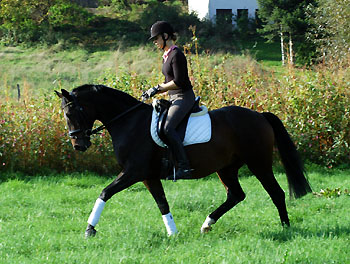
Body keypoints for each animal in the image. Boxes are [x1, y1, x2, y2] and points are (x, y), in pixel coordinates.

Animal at [55, 83, 312, 236]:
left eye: (70, 113)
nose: (78, 145)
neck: (129, 122)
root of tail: (259, 115)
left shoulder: (133, 172)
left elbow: (105, 192)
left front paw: (89, 229)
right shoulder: (148, 176)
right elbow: (162, 203)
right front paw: (172, 233)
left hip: (259, 163)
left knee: (276, 192)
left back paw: (286, 228)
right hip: (226, 168)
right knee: (236, 195)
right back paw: (207, 224)